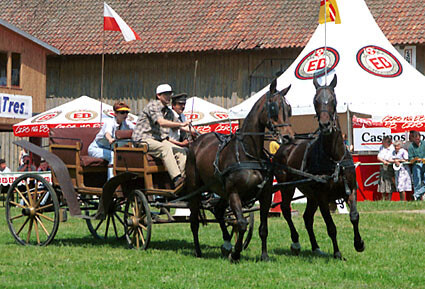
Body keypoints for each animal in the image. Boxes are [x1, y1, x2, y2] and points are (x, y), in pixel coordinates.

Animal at [186, 79, 294, 260]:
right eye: (273, 108)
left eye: (289, 108)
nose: (288, 137)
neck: (249, 154)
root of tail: (196, 142)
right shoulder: (234, 193)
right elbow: (242, 223)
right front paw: (236, 253)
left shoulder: (265, 195)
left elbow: (263, 229)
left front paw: (264, 256)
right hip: (196, 190)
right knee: (194, 221)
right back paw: (198, 251)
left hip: (221, 190)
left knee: (219, 211)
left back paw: (226, 243)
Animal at [274, 74, 362, 258]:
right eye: (315, 100)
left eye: (334, 99)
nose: (325, 125)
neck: (335, 158)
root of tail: (284, 146)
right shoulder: (322, 197)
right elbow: (331, 227)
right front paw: (337, 253)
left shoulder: (351, 189)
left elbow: (354, 216)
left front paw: (359, 243)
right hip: (288, 187)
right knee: (286, 210)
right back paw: (296, 242)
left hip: (310, 195)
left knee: (307, 218)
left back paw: (315, 247)